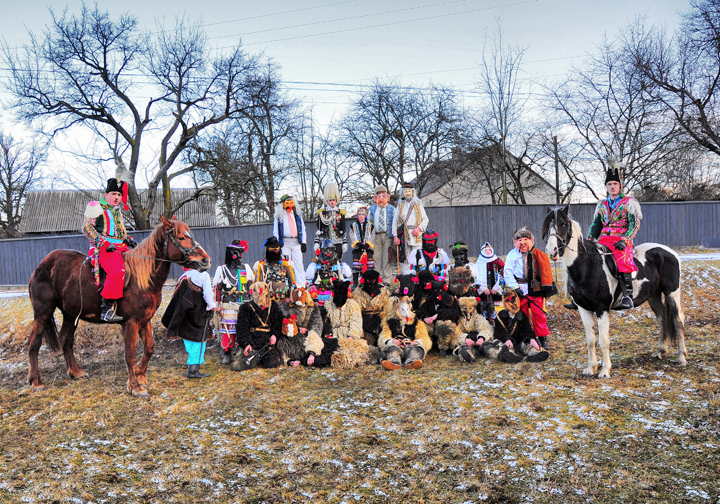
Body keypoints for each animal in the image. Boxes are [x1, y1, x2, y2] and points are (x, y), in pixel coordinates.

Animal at [27, 217, 211, 398]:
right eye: (181, 237)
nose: (205, 260)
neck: (142, 278)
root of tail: (41, 266)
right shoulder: (130, 323)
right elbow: (130, 355)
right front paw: (135, 387)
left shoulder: (145, 320)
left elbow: (149, 348)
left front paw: (141, 375)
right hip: (43, 312)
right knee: (34, 343)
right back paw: (36, 382)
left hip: (71, 314)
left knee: (66, 340)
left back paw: (76, 372)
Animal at [544, 206, 688, 378]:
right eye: (548, 225)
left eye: (563, 224)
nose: (551, 250)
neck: (588, 265)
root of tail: (670, 252)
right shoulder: (583, 308)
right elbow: (590, 339)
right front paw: (590, 368)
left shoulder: (602, 309)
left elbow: (603, 340)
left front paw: (605, 370)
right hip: (653, 296)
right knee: (662, 318)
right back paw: (659, 351)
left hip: (672, 293)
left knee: (678, 320)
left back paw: (681, 357)